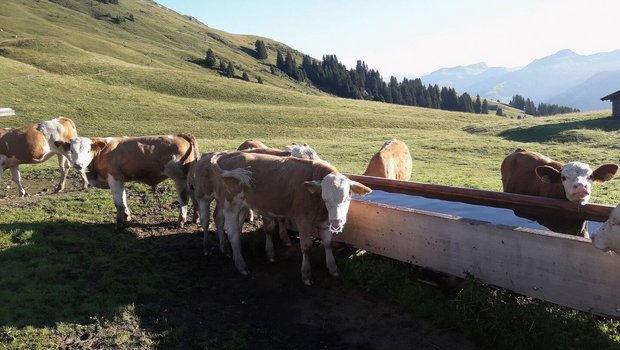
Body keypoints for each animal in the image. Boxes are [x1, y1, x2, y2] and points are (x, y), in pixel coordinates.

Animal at [67, 134, 199, 230]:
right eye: (72, 151)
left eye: (88, 151)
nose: (78, 164)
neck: (102, 152)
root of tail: (180, 135)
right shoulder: (120, 179)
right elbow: (123, 198)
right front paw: (127, 215)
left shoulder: (114, 178)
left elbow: (118, 202)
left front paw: (119, 223)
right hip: (190, 181)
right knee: (194, 198)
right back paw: (195, 219)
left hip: (180, 179)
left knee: (184, 200)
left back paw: (181, 222)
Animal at [206, 150, 370, 284]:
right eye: (325, 199)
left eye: (347, 198)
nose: (337, 222)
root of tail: (229, 155)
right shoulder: (303, 219)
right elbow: (306, 246)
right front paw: (306, 274)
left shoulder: (325, 222)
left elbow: (328, 243)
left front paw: (333, 267)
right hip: (230, 205)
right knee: (231, 233)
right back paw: (241, 266)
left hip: (243, 207)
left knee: (236, 230)